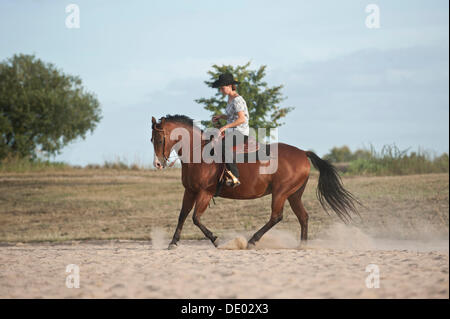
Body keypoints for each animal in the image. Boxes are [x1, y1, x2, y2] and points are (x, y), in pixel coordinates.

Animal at [150, 115, 358, 250]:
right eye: (152, 139)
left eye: (160, 139)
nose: (158, 164)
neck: (199, 154)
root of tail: (302, 153)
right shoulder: (190, 191)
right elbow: (182, 215)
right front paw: (173, 242)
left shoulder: (205, 192)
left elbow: (195, 218)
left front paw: (216, 240)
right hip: (293, 194)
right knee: (303, 216)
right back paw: (302, 246)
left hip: (281, 192)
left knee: (276, 216)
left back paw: (252, 241)